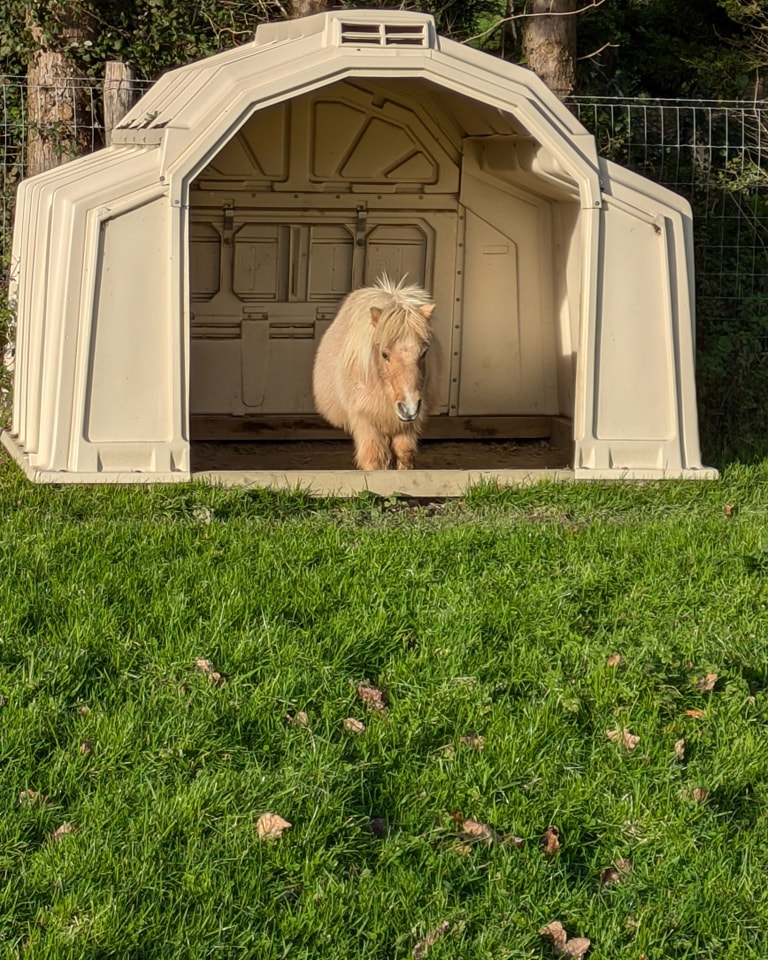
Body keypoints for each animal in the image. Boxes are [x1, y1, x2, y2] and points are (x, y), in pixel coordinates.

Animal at [312, 276, 436, 471]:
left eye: (424, 352)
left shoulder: (405, 429)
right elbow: (374, 460)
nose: (409, 408)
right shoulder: (366, 420)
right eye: (385, 354)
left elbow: (405, 457)